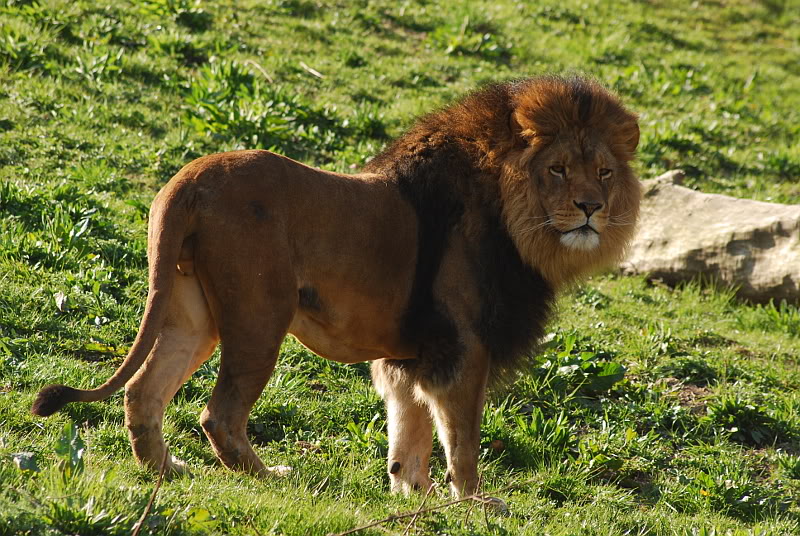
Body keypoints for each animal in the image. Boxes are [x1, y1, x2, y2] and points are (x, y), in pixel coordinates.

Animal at [31, 75, 640, 498]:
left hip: (190, 312)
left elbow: (409, 432)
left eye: (604, 172)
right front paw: (475, 504)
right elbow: (462, 439)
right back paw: (270, 476)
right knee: (219, 414)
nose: (591, 208)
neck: (519, 220)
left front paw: (410, 494)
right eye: (558, 169)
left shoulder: (413, 354)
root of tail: (189, 179)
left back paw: (166, 470)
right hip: (260, 314)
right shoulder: (462, 346)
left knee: (143, 391)